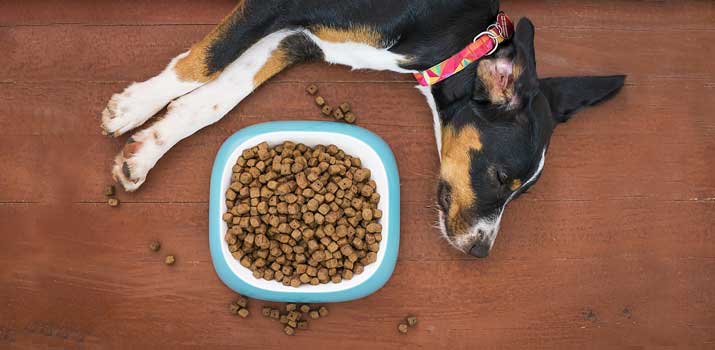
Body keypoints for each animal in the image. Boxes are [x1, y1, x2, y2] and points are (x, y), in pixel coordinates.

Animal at [102, 0, 628, 258]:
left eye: (523, 193)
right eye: (501, 178)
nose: (481, 252)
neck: (461, 37)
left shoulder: (298, 38)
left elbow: (215, 96)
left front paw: (146, 150)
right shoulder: (276, 5)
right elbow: (205, 60)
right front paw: (133, 106)